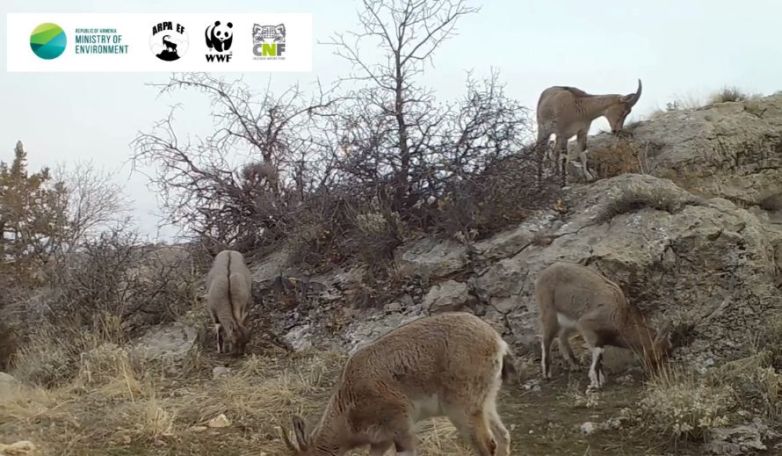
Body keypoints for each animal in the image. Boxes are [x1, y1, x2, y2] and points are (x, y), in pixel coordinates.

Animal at [281, 312, 517, 456]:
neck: (348, 407)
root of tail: (497, 342)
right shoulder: (380, 440)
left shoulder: (401, 426)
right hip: (485, 401)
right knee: (503, 435)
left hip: (461, 408)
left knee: (488, 444)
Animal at [536, 261, 671, 391]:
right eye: (661, 354)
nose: (659, 373)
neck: (619, 319)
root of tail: (544, 273)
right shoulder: (586, 326)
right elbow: (597, 353)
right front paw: (595, 383)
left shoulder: (597, 337)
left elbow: (599, 356)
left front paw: (600, 380)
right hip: (549, 313)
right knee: (546, 340)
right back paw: (547, 374)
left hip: (569, 323)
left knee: (562, 337)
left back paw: (575, 366)